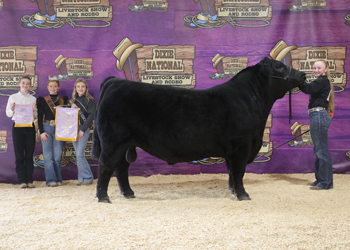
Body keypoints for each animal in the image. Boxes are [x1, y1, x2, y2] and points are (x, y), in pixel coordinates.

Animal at [91, 57, 304, 202]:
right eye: (279, 67)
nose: (303, 74)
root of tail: (115, 81)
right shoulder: (242, 144)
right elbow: (239, 170)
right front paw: (243, 194)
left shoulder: (233, 148)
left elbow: (231, 171)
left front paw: (233, 190)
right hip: (113, 141)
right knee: (106, 165)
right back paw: (103, 197)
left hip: (125, 143)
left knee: (121, 167)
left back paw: (128, 193)